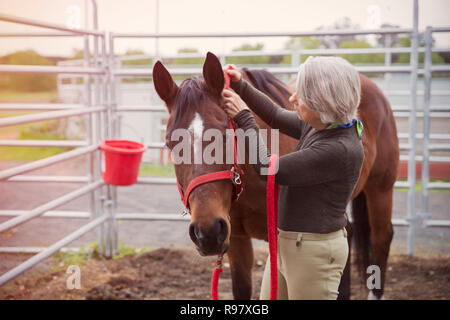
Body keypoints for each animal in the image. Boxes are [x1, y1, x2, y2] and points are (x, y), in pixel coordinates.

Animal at [153, 51, 400, 298]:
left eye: (225, 135)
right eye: (170, 144)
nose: (207, 231)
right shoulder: (235, 238)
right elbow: (241, 288)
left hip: (381, 190)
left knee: (381, 238)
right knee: (348, 232)